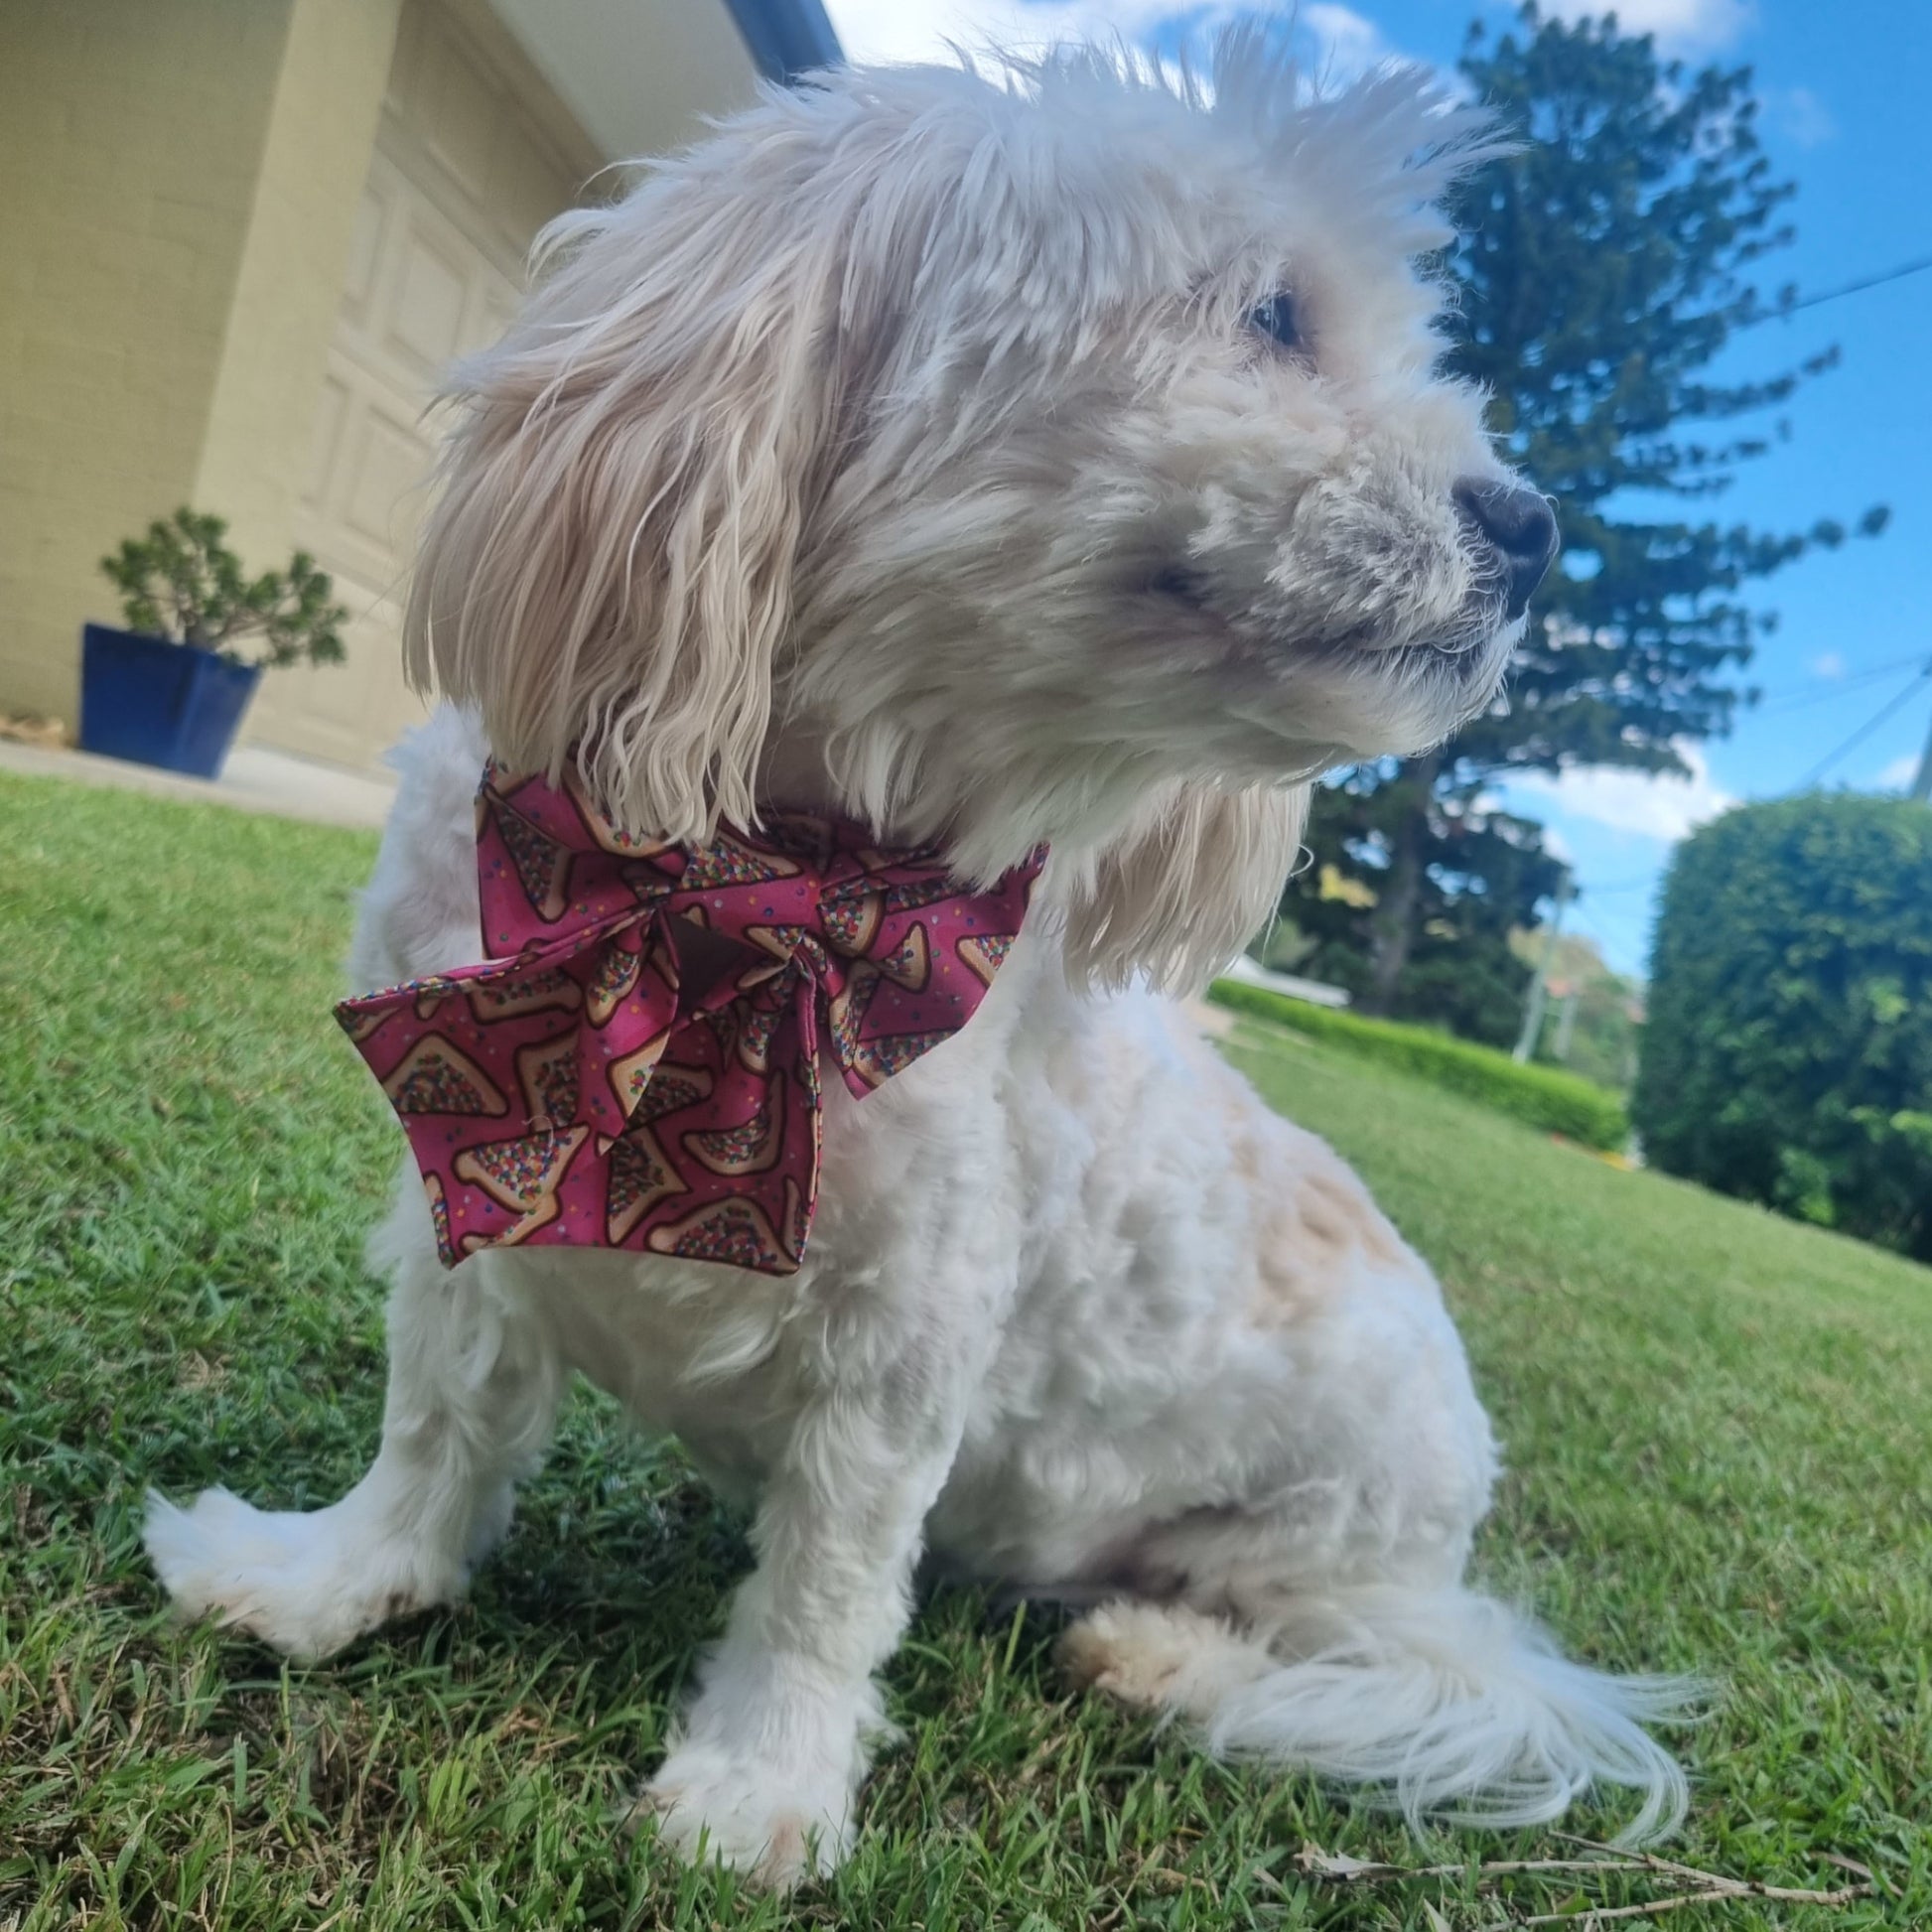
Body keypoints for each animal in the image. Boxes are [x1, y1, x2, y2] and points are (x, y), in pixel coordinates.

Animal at [146, 41, 1692, 1885]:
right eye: (1270, 313)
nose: (1534, 529)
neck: (754, 888)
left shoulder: (910, 1326)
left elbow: (827, 1572)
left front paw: (759, 1783)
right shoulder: (470, 1177)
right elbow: (437, 1420)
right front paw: (335, 1577)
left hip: (1316, 1545)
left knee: (1378, 1669)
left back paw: (1158, 1655)